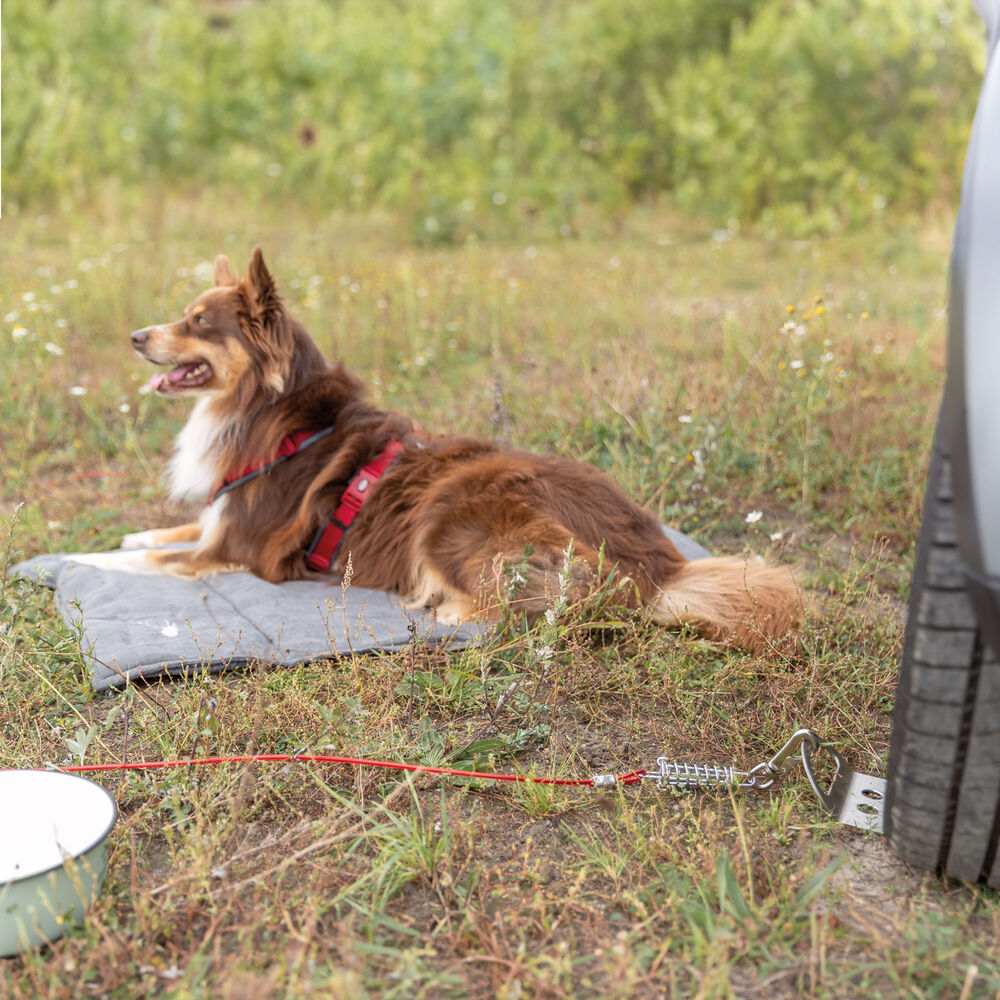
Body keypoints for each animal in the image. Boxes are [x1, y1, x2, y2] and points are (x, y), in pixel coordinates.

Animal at [78, 252, 800, 648]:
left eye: (199, 323)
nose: (136, 336)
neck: (272, 415)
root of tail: (661, 567)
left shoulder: (235, 551)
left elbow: (144, 563)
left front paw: (85, 560)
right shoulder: (217, 523)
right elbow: (162, 533)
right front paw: (127, 535)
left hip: (450, 513)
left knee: (514, 606)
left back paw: (441, 605)